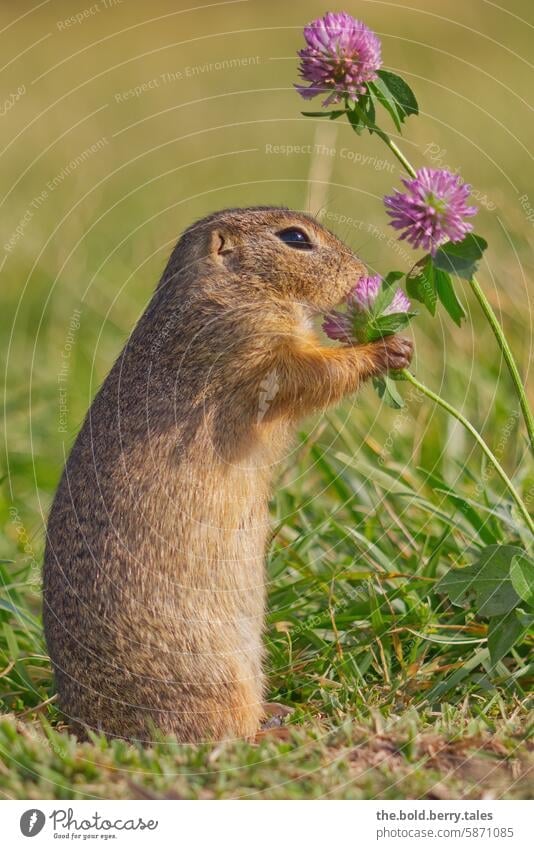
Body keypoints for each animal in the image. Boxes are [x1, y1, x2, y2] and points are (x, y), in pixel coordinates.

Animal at [44, 207, 416, 744]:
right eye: (295, 238)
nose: (364, 274)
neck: (232, 289)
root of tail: (86, 728)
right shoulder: (248, 343)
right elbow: (305, 374)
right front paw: (386, 348)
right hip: (212, 673)